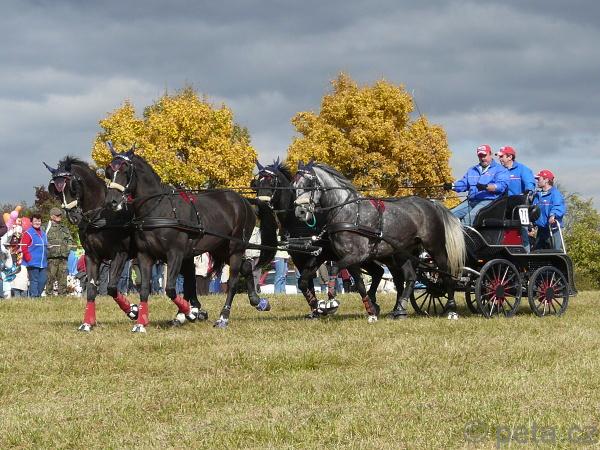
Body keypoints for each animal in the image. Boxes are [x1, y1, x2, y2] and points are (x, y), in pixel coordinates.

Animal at [44, 156, 140, 331]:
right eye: (55, 190)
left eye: (73, 187)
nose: (74, 217)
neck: (101, 215)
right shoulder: (92, 256)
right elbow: (91, 288)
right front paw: (87, 323)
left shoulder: (120, 255)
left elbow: (111, 287)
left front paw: (133, 311)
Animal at [104, 146, 278, 331]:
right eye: (109, 172)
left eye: (126, 170)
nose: (112, 202)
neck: (158, 209)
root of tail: (244, 200)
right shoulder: (145, 255)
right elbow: (144, 288)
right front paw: (140, 323)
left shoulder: (175, 254)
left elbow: (171, 289)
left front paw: (191, 312)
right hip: (220, 248)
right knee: (246, 267)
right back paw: (258, 302)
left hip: (235, 248)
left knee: (233, 281)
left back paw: (223, 317)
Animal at [253, 159, 385, 318]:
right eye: (256, 183)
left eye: (273, 181)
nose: (261, 206)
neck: (297, 222)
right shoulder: (299, 258)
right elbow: (304, 283)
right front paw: (315, 309)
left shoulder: (317, 255)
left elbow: (304, 281)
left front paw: (323, 307)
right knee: (378, 272)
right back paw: (374, 303)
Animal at [292, 161, 466, 321]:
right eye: (294, 186)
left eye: (309, 184)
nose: (299, 212)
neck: (348, 213)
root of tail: (432, 203)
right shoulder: (349, 259)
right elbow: (360, 285)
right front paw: (371, 311)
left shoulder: (357, 255)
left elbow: (334, 269)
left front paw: (330, 301)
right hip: (402, 253)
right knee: (409, 277)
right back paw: (400, 310)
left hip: (435, 247)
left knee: (446, 273)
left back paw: (451, 310)